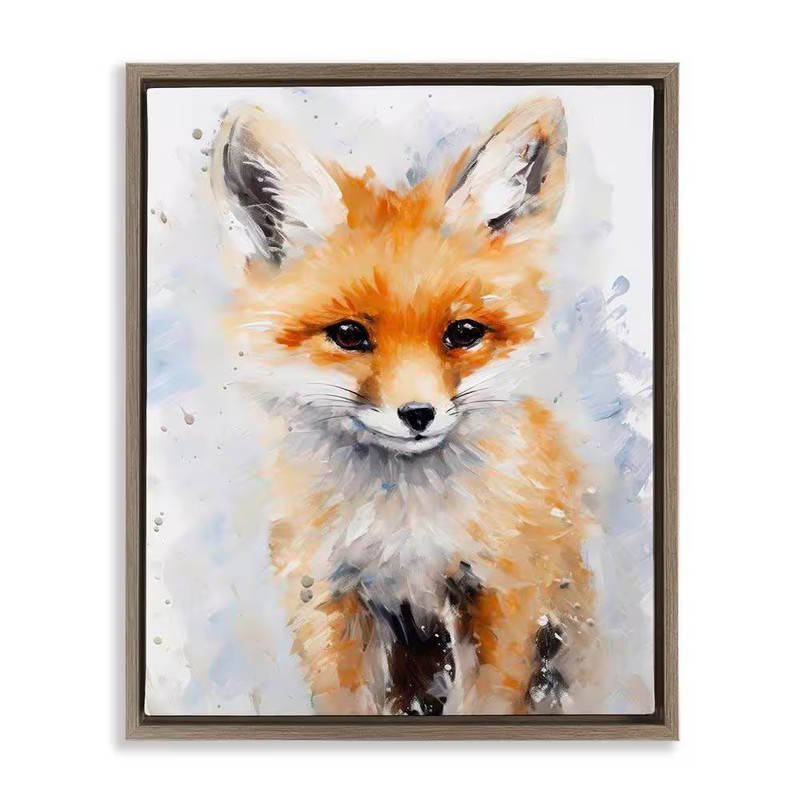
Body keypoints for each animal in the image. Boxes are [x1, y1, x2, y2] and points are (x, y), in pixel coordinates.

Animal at [210, 97, 599, 715]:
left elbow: (487, 704)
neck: (405, 530)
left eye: (463, 332)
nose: (418, 415)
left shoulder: (499, 592)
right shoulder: (329, 598)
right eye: (348, 334)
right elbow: (345, 702)